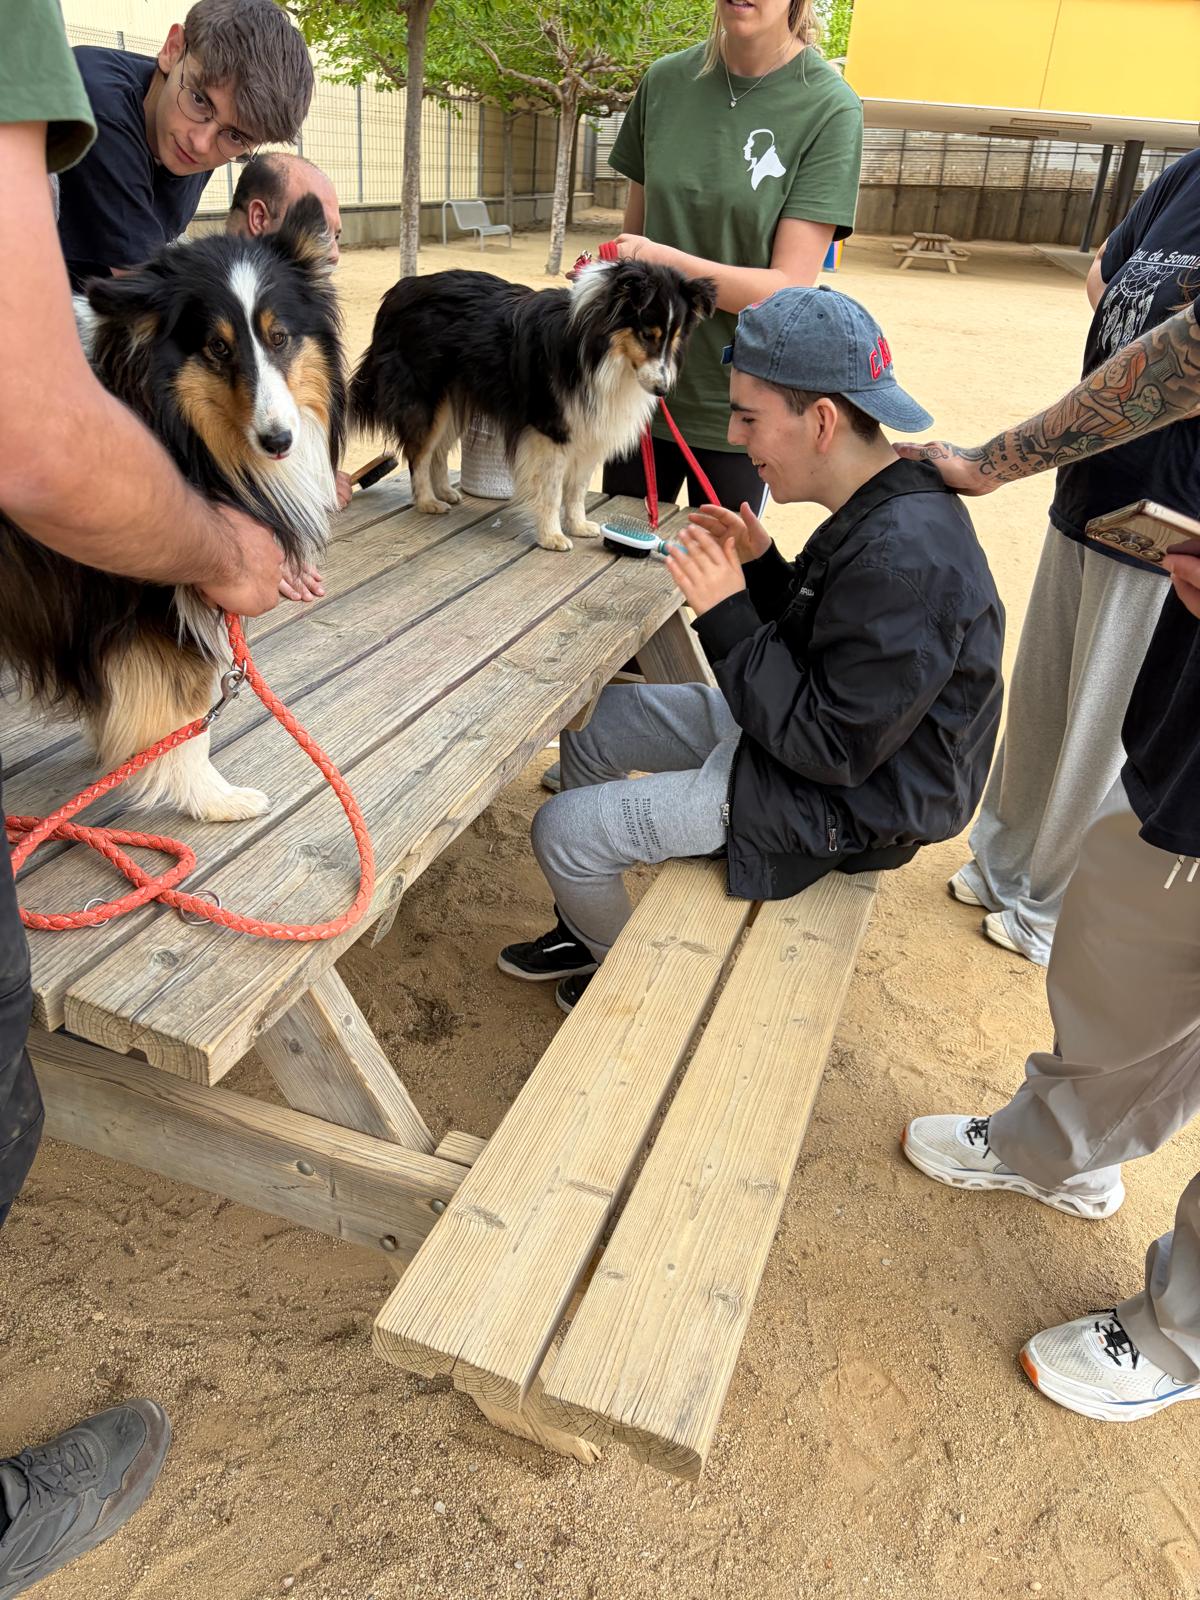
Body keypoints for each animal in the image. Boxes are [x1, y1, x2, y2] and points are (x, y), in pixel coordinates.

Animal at [0, 196, 345, 824]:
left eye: (280, 337)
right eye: (217, 347)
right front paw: (212, 797)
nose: (279, 441)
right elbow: (186, 714)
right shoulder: (150, 602)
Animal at [349, 259, 717, 551]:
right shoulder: (552, 431)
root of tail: (400, 289)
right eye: (647, 334)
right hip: (427, 399)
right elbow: (552, 491)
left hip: (453, 399)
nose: (662, 390)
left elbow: (577, 489)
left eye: (675, 338)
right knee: (419, 452)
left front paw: (578, 526)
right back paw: (426, 501)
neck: (598, 350)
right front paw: (551, 536)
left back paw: (444, 493)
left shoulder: (588, 432)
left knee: (437, 451)